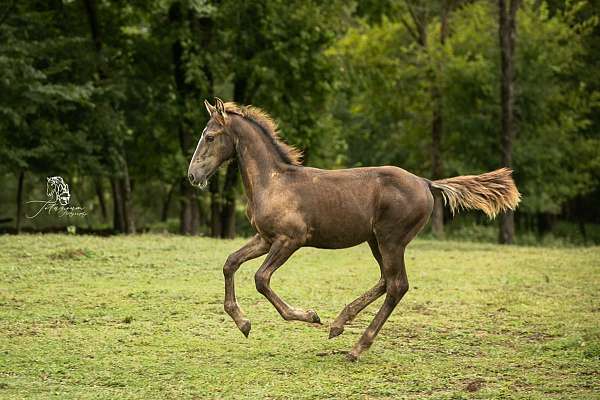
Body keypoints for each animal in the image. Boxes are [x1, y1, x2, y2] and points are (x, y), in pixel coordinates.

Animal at [189, 98, 520, 360]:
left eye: (210, 136)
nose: (193, 175)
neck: (274, 182)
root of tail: (426, 183)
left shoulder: (290, 239)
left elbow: (261, 279)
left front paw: (310, 316)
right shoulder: (264, 238)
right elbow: (230, 262)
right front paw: (243, 323)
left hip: (391, 240)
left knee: (397, 285)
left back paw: (357, 346)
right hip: (376, 241)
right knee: (387, 281)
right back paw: (340, 324)